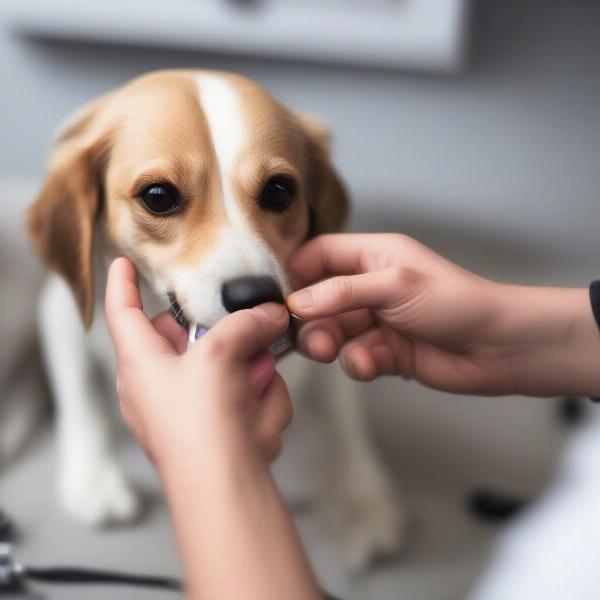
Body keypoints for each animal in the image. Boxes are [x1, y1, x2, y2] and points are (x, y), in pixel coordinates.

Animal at [27, 69, 404, 568]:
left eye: (279, 191)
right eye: (158, 196)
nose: (254, 296)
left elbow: (346, 421)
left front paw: (360, 497)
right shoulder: (60, 312)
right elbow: (81, 397)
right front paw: (93, 478)